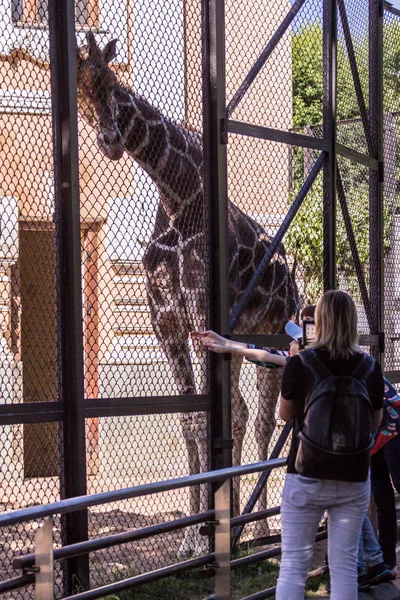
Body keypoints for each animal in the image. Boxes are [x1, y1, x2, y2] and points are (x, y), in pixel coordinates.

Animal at [76, 32, 298, 552]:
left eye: (115, 87)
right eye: (81, 94)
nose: (111, 142)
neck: (176, 195)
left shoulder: (199, 314)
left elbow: (214, 419)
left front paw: (207, 534)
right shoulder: (167, 321)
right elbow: (192, 420)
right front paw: (193, 537)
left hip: (275, 335)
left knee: (261, 418)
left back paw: (258, 527)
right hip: (244, 340)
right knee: (240, 414)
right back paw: (240, 521)